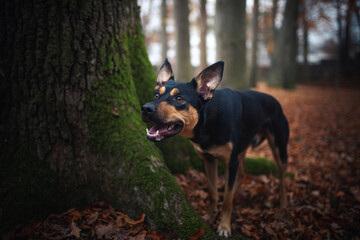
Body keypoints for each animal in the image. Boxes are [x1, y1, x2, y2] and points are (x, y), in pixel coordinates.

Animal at [141, 59, 290, 237]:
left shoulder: (230, 162)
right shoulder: (208, 160)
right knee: (242, 171)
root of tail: (276, 101)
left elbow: (226, 199)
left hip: (278, 146)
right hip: (242, 147)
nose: (145, 108)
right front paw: (210, 216)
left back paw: (283, 204)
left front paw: (224, 226)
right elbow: (213, 192)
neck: (207, 121)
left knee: (282, 175)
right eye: (156, 95)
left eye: (179, 99)